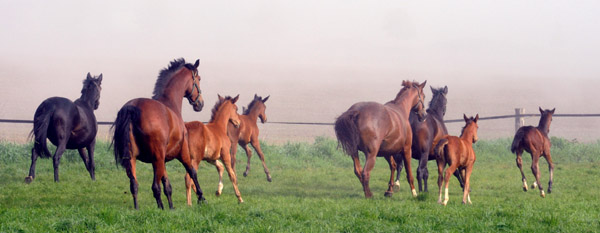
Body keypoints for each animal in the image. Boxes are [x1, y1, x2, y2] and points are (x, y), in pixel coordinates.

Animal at [111, 58, 205, 209]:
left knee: (134, 185)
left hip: (134, 159)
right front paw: (202, 198)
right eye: (199, 78)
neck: (170, 105)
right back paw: (160, 208)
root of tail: (132, 108)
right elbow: (192, 172)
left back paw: (138, 209)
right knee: (155, 187)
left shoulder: (163, 160)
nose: (200, 104)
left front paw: (171, 207)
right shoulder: (182, 152)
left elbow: (167, 185)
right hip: (157, 159)